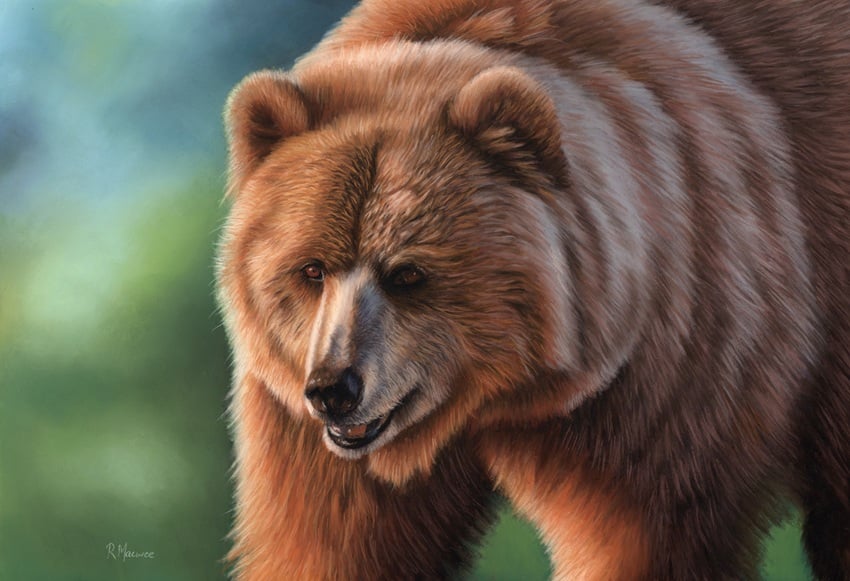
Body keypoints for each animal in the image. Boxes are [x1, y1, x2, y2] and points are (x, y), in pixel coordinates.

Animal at [216, 0, 850, 579]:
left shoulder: (676, 369)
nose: (335, 390)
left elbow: (644, 535)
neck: (504, 401)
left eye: (408, 273)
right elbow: (330, 541)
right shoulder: (299, 418)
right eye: (312, 268)